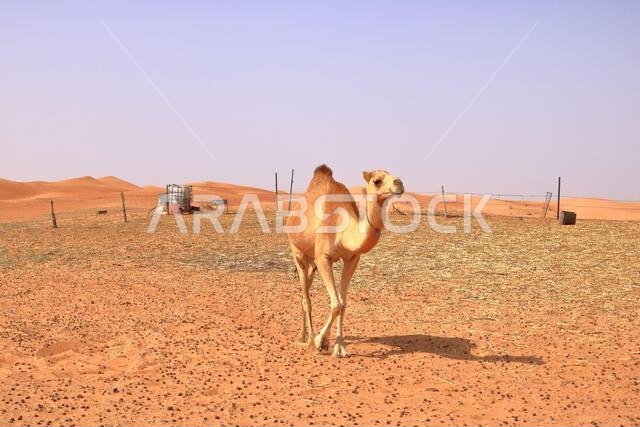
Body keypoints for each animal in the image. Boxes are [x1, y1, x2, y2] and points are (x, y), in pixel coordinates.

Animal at [286, 164, 404, 357]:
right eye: (377, 181)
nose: (399, 183)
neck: (342, 229)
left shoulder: (352, 259)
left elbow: (343, 304)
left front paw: (339, 347)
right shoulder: (323, 258)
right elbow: (336, 304)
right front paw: (319, 341)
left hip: (312, 262)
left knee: (305, 291)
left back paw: (303, 335)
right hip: (297, 251)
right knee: (306, 298)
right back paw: (309, 339)